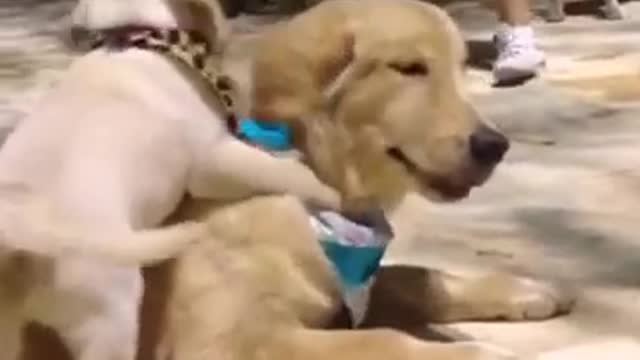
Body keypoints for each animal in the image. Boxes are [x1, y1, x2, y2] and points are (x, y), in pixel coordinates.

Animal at [0, 0, 340, 360]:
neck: (142, 37)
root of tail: (17, 230)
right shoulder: (215, 161)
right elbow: (287, 172)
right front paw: (328, 193)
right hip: (107, 319)